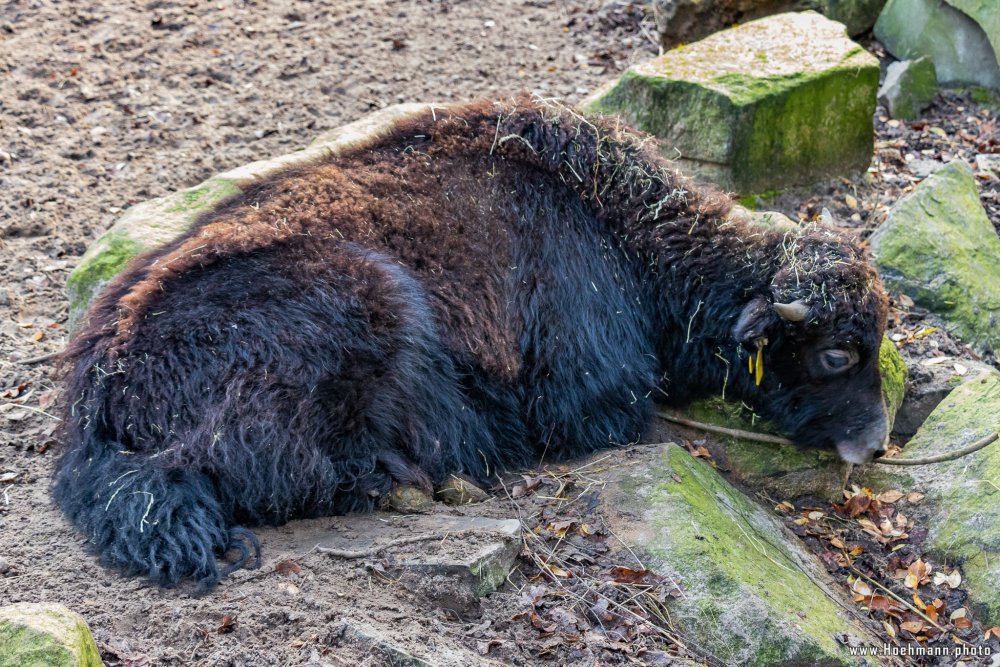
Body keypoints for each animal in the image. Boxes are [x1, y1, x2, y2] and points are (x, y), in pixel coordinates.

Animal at [54, 96, 888, 588]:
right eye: (836, 352)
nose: (877, 442)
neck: (619, 227)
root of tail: (103, 383)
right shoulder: (592, 394)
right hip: (369, 299)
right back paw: (425, 482)